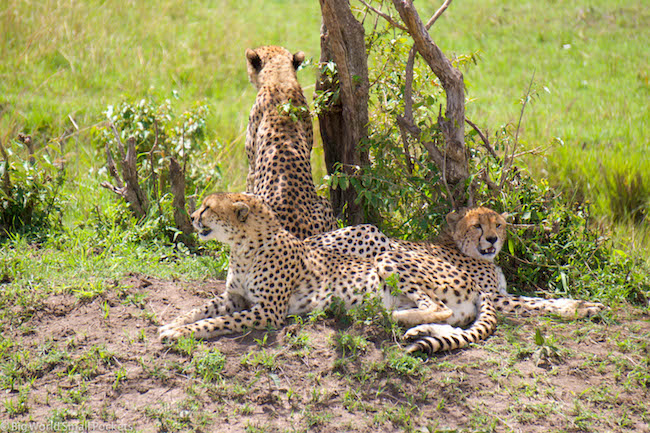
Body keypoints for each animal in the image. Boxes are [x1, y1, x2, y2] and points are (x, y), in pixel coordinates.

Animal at [157, 192, 496, 354]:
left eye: (208, 208)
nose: (191, 216)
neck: (244, 247)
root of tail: (477, 283)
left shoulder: (268, 312)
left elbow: (217, 321)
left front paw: (178, 333)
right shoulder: (233, 298)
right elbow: (199, 309)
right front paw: (172, 323)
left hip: (388, 258)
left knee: (434, 307)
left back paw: (387, 316)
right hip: (453, 311)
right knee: (448, 323)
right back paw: (414, 331)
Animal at [306, 208, 604, 352]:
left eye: (498, 225)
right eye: (477, 226)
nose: (492, 239)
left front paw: (586, 304)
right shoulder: (496, 297)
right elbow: (535, 303)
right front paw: (578, 308)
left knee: (450, 323)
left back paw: (417, 331)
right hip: (375, 235)